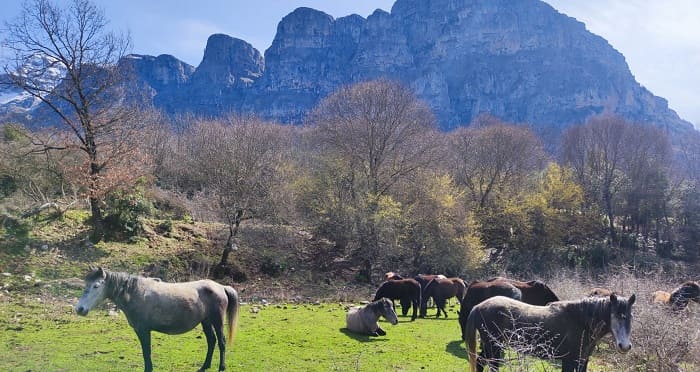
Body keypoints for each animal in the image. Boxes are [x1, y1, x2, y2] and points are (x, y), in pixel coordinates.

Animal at [76, 266, 239, 370]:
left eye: (96, 286)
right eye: (86, 284)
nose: (79, 309)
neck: (136, 293)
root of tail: (221, 287)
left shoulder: (144, 330)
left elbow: (146, 352)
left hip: (217, 320)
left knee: (221, 342)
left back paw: (221, 367)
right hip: (206, 321)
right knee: (211, 341)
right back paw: (204, 367)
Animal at [464, 294, 636, 372]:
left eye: (630, 317)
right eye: (614, 315)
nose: (625, 346)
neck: (581, 321)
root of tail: (479, 306)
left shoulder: (583, 360)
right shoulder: (569, 361)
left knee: (480, 362)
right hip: (493, 346)